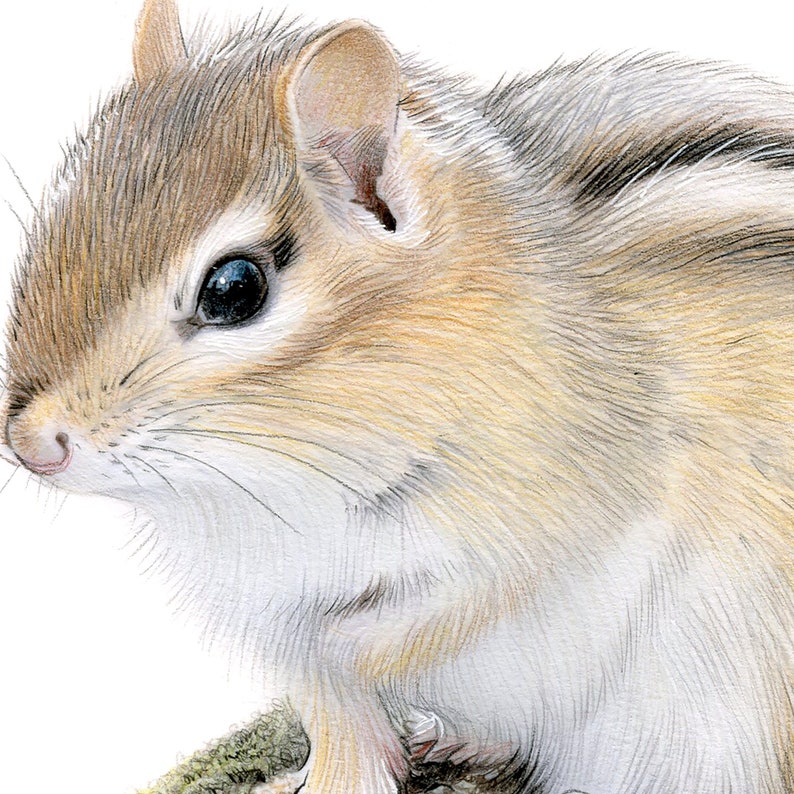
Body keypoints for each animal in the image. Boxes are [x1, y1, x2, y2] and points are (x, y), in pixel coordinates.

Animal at [3, 0, 794, 790]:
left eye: (233, 288)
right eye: (53, 224)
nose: (30, 445)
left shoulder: (557, 521)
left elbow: (406, 630)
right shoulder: (265, 610)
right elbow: (332, 712)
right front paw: (328, 777)